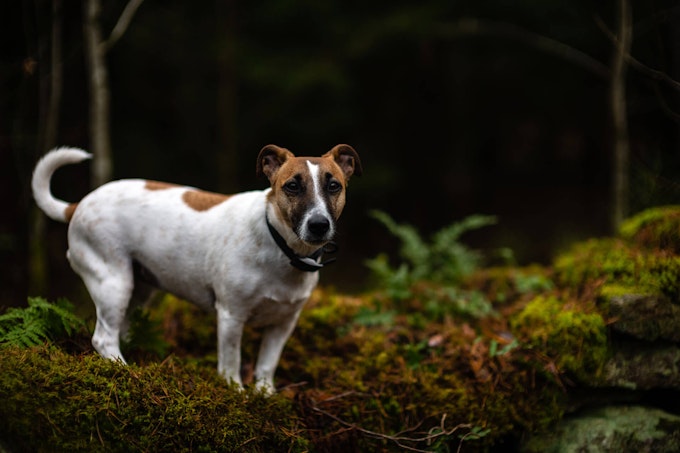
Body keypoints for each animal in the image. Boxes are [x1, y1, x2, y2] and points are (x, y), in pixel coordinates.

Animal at [31, 144, 362, 392]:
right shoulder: (231, 316)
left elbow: (267, 363)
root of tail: (79, 204)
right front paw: (237, 392)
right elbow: (230, 361)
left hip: (139, 289)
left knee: (119, 330)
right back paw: (124, 371)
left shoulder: (283, 324)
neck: (280, 246)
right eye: (292, 186)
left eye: (334, 186)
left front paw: (265, 394)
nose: (319, 225)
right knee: (103, 337)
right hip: (113, 281)